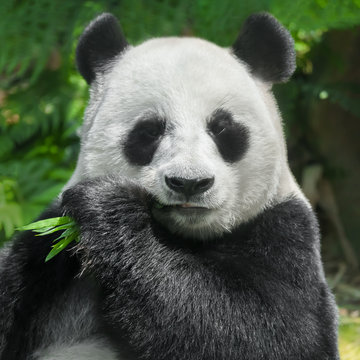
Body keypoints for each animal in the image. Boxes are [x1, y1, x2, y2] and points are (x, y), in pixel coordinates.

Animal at [0, 11, 338, 360]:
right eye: (150, 131)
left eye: (221, 128)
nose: (190, 182)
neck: (182, 238)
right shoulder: (43, 259)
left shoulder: (283, 231)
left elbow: (268, 332)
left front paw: (108, 208)